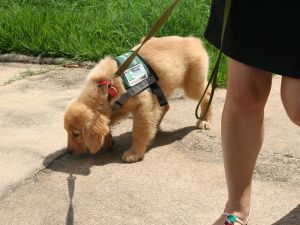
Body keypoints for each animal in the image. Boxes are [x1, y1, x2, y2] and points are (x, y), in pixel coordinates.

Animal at [64, 35, 212, 162]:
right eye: (67, 131)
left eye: (76, 134)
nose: (69, 152)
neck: (106, 86)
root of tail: (193, 40)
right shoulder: (118, 108)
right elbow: (108, 121)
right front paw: (108, 139)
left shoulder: (144, 105)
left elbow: (139, 130)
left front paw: (134, 153)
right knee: (165, 106)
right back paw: (156, 124)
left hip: (192, 84)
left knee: (208, 94)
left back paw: (205, 120)